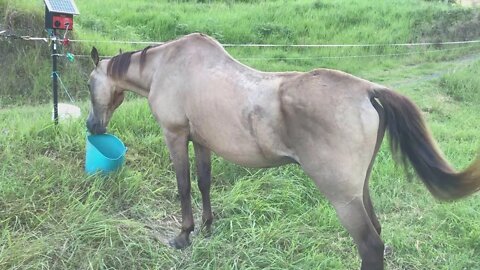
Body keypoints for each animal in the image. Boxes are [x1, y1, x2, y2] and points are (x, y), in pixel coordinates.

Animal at [86, 33, 480, 270]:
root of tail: (368, 90)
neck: (168, 67)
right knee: (377, 232)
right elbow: (203, 183)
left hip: (342, 197)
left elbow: (183, 186)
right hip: (360, 189)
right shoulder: (202, 142)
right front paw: (208, 227)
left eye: (89, 83)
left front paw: (184, 235)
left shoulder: (175, 136)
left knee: (370, 244)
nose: (93, 127)